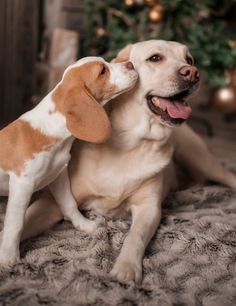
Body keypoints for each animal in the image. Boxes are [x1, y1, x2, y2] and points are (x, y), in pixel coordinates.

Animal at [0, 57, 138, 266]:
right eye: (102, 71)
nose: (130, 63)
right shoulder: (22, 184)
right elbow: (15, 224)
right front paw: (8, 258)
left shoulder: (58, 176)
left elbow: (69, 204)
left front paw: (85, 225)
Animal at [20, 40, 236, 284]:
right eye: (155, 58)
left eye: (189, 60)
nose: (193, 73)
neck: (129, 143)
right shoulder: (52, 202)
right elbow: (25, 220)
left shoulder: (149, 208)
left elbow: (135, 236)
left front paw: (126, 268)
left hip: (201, 158)